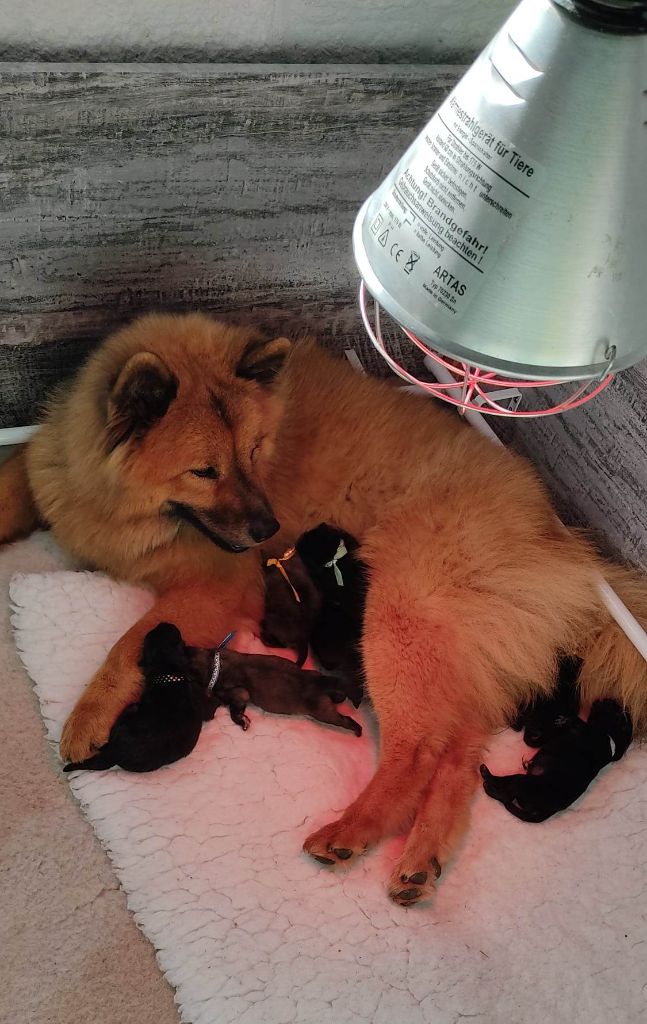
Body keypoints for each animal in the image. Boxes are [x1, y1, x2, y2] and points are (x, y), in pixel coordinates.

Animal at [483, 696, 634, 823]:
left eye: (611, 706)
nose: (601, 699)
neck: (610, 735)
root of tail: (547, 811)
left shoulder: (585, 730)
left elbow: (576, 721)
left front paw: (565, 720)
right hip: (522, 780)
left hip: (523, 782)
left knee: (505, 795)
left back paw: (487, 781)